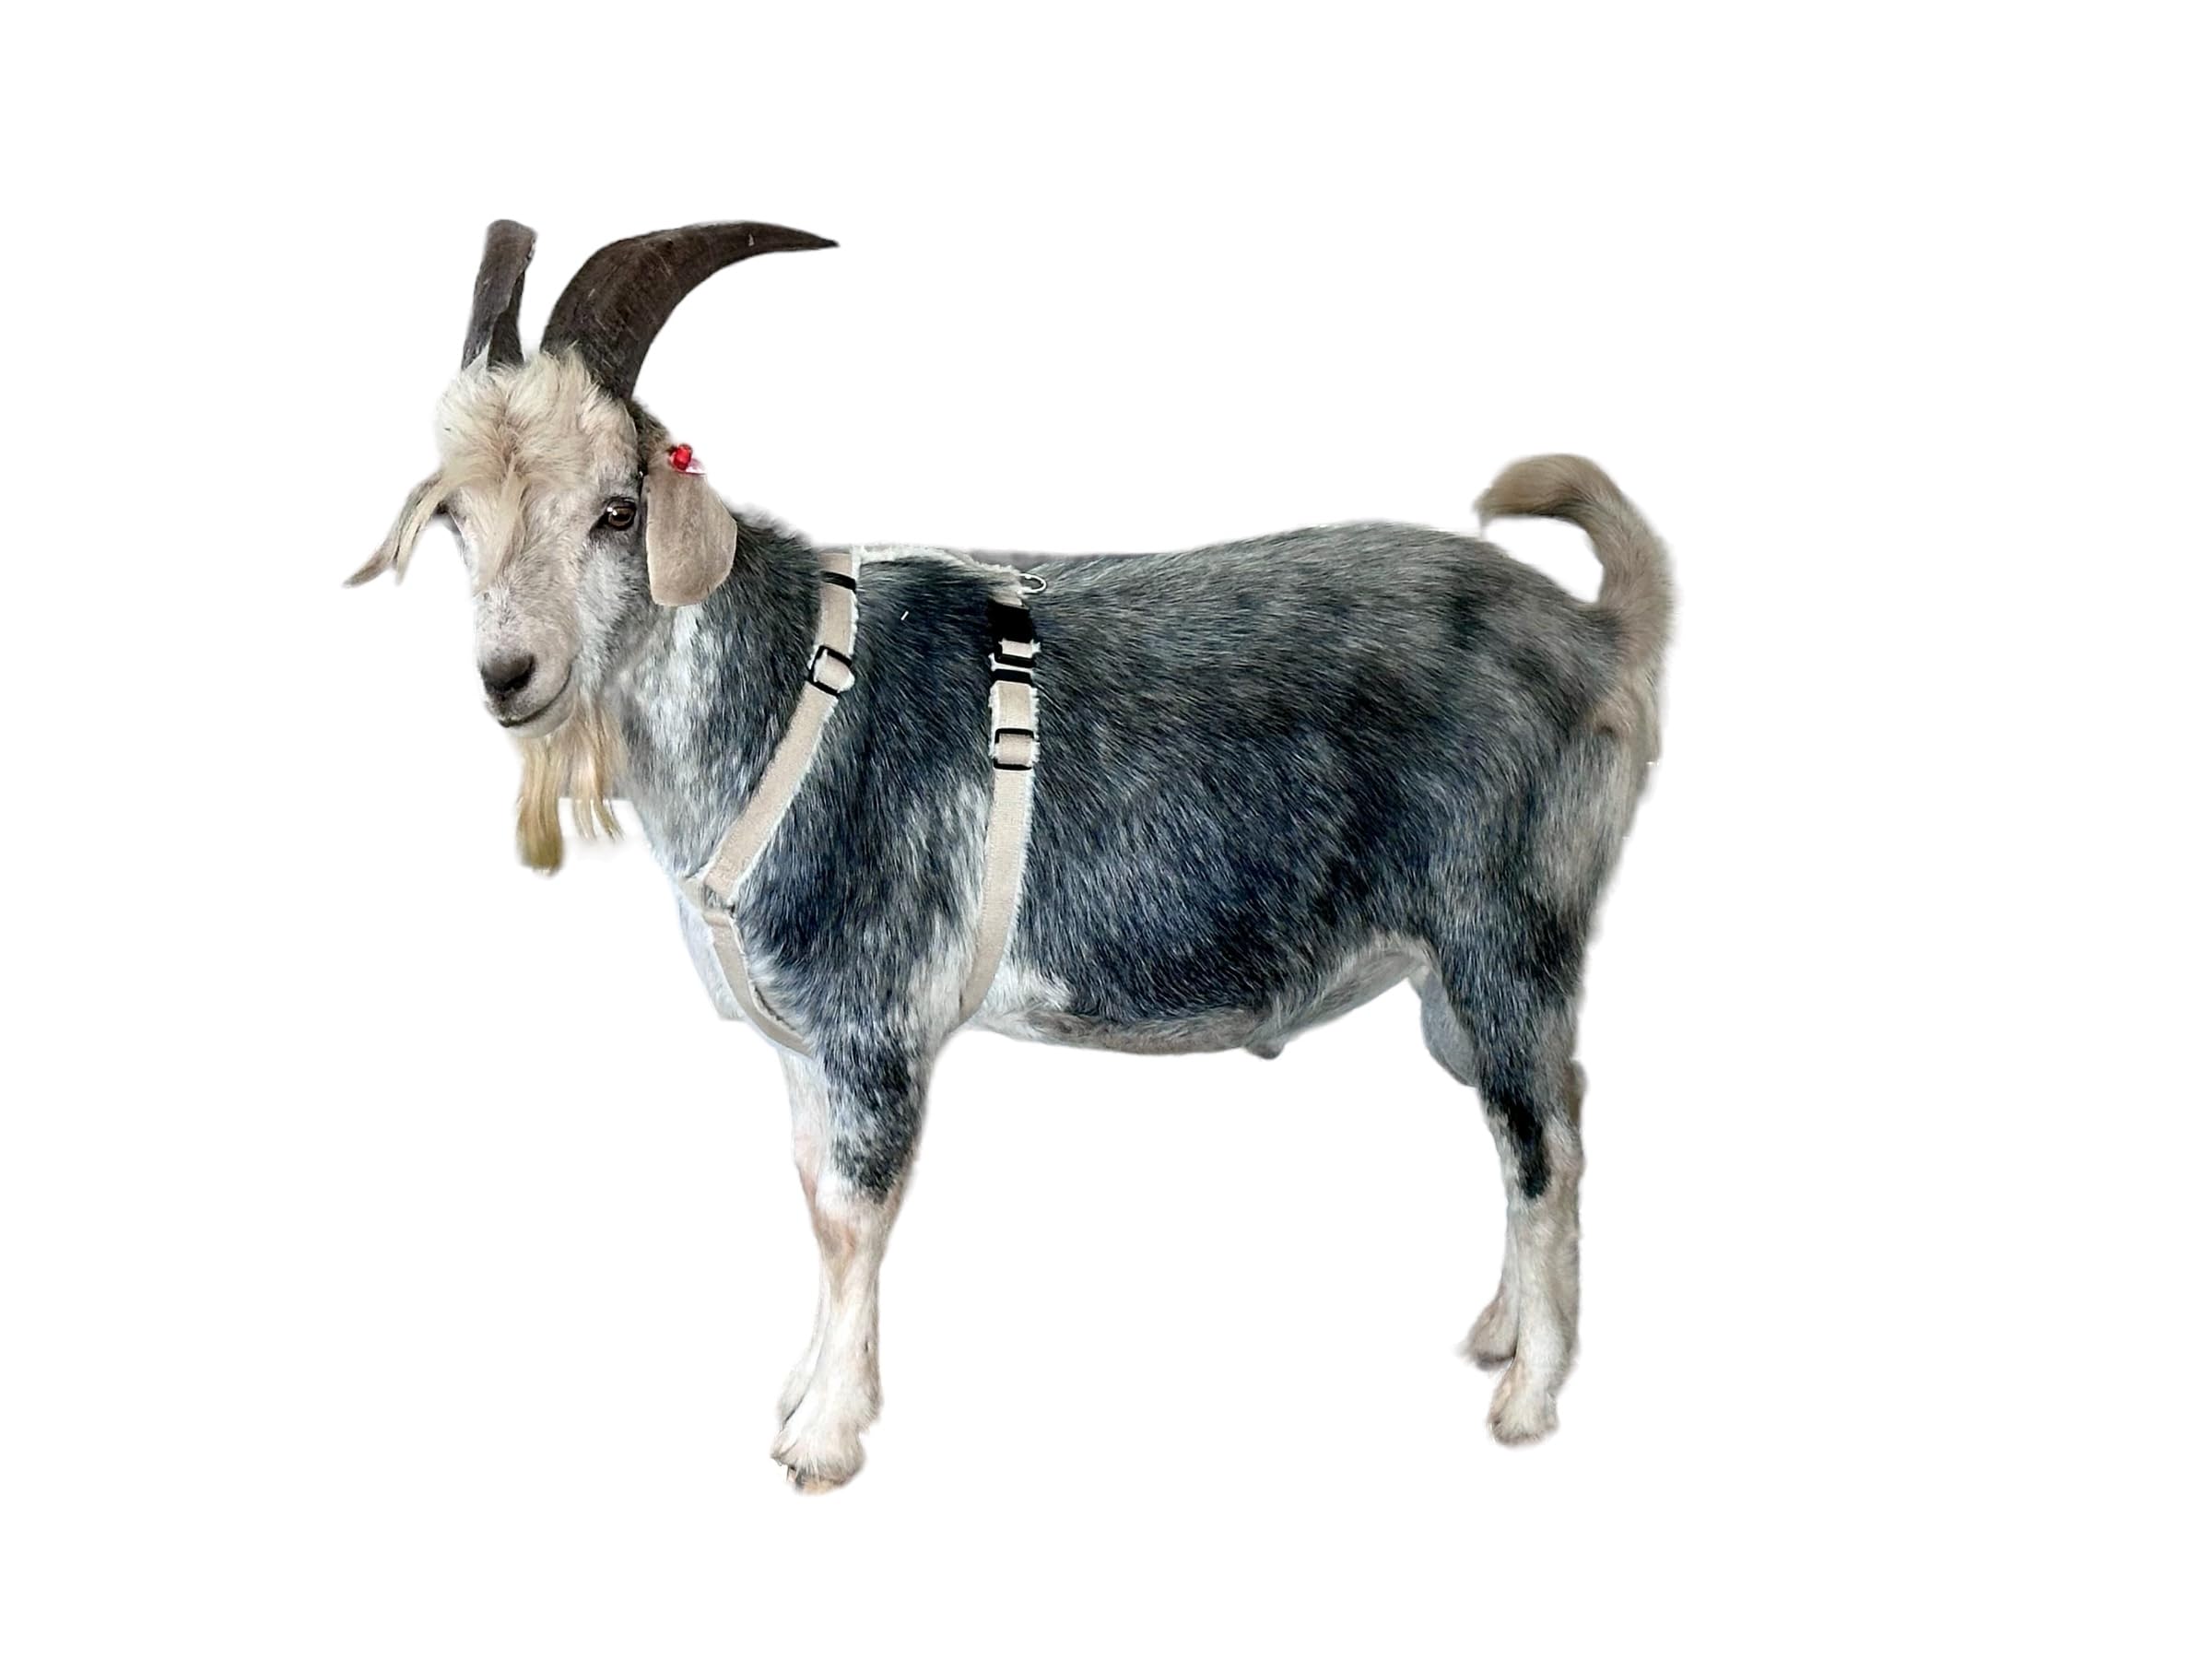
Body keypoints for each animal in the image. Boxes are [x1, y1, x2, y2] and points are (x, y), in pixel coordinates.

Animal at [353, 219, 1672, 1490]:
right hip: (1450, 981)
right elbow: (812, 1202)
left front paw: (823, 1440)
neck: (788, 691)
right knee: (1536, 1119)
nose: (509, 678)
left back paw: (1527, 1400)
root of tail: (1599, 638)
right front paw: (804, 1388)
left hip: (1505, 932)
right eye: (459, 518)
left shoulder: (874, 1023)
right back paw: (1501, 1332)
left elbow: (855, 1216)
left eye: (616, 512)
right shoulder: (802, 1044)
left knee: (1544, 1145)